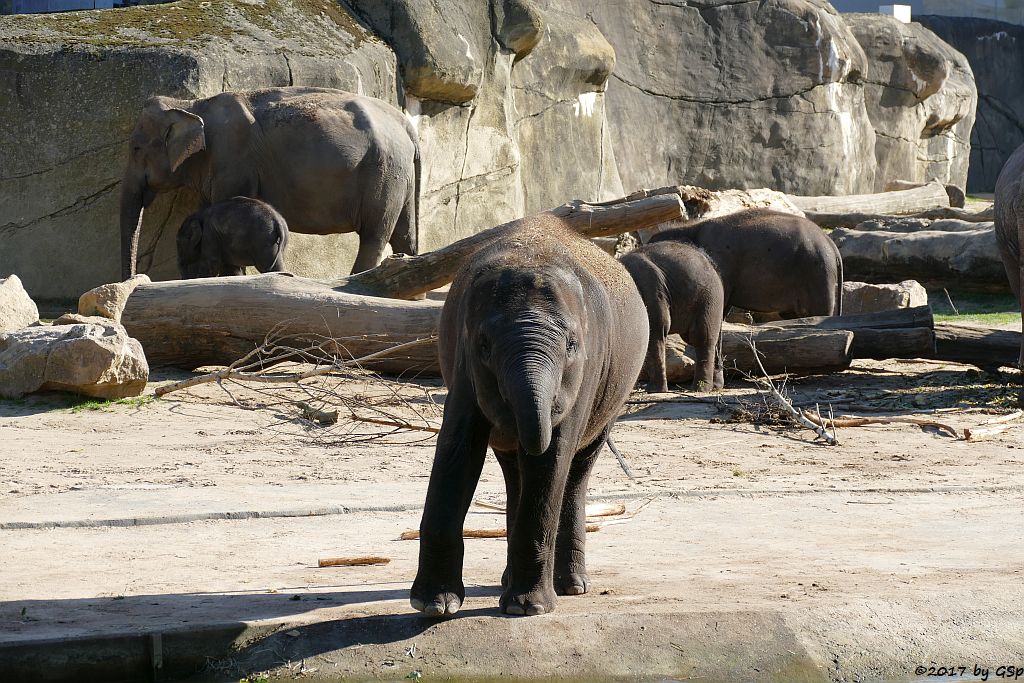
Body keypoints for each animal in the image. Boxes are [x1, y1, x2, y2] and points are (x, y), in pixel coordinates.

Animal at [118, 88, 419, 280]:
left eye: (135, 148)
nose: (134, 278)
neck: (192, 105)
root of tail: (406, 124)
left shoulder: (234, 159)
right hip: (399, 176)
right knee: (403, 235)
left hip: (383, 171)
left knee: (374, 234)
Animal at [409, 215, 643, 618]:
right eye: (484, 345)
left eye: (571, 344)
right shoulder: (464, 363)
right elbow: (458, 447)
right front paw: (435, 605)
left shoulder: (587, 369)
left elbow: (553, 458)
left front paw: (527, 608)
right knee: (515, 472)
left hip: (612, 397)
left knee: (575, 472)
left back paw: (570, 586)